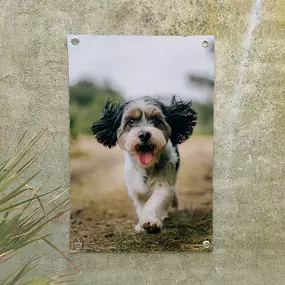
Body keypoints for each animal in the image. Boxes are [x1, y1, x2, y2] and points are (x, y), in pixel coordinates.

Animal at [91, 95, 195, 233]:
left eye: (156, 120)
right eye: (131, 121)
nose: (144, 134)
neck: (147, 167)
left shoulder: (164, 183)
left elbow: (155, 201)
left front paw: (150, 221)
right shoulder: (136, 188)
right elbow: (141, 204)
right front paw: (142, 224)